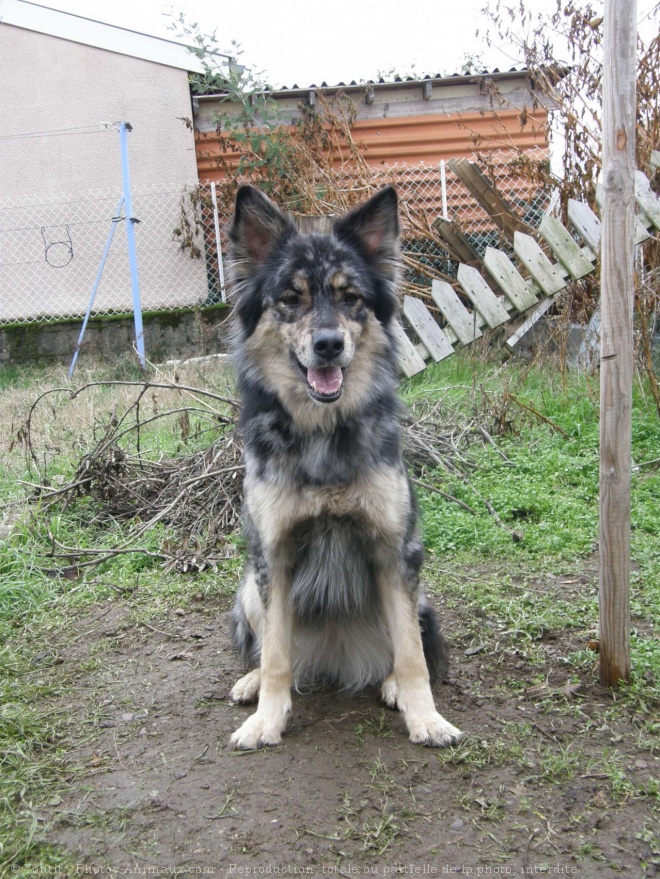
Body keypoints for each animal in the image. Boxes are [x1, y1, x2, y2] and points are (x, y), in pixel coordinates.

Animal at [227, 184, 464, 748]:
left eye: (350, 296)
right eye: (290, 298)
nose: (329, 344)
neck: (322, 434)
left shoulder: (394, 552)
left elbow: (412, 654)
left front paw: (426, 717)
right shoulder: (274, 556)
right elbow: (276, 655)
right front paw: (267, 719)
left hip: (419, 597)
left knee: (406, 647)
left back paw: (392, 685)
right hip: (248, 586)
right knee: (269, 649)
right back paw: (250, 682)